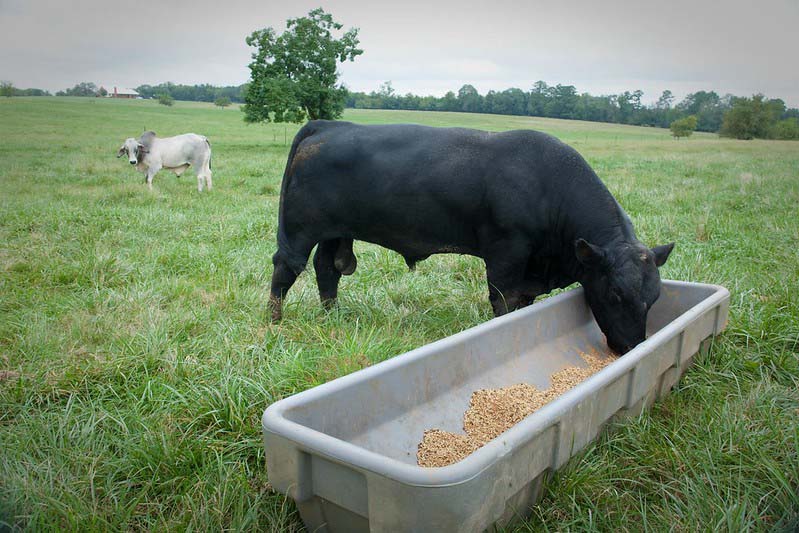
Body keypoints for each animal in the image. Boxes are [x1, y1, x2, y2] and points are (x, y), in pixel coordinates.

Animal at [269, 120, 674, 354]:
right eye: (615, 294)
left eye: (654, 298)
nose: (630, 346)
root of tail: (329, 125)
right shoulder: (507, 254)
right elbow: (503, 301)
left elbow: (521, 304)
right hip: (301, 229)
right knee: (286, 269)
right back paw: (274, 322)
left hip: (336, 232)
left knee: (328, 268)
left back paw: (332, 315)